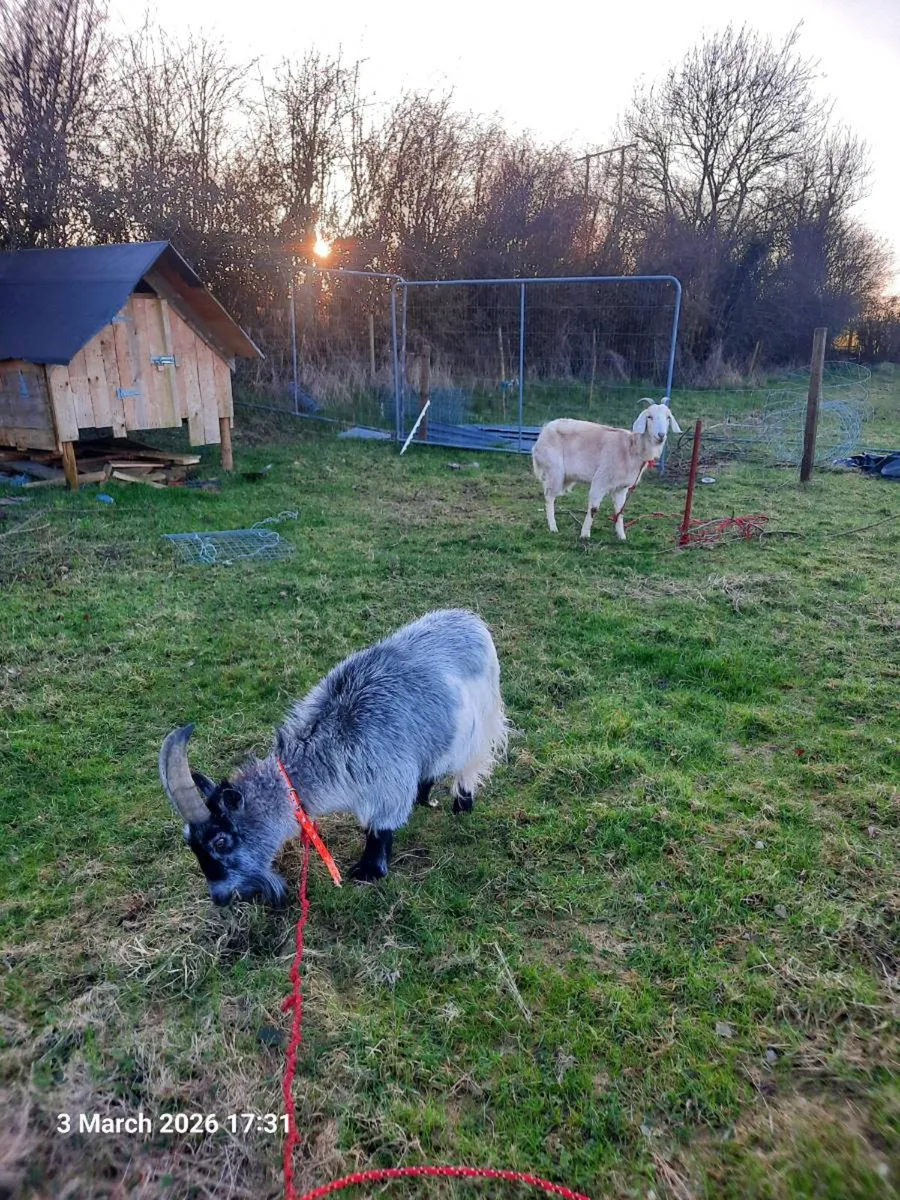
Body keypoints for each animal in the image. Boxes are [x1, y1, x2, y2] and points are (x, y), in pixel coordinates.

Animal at [159, 609, 508, 905]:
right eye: (190, 842)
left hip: (477, 724)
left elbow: (379, 832)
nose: (221, 898)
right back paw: (423, 796)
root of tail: (470, 620)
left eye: (220, 841)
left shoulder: (388, 787)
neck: (332, 743)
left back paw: (462, 804)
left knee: (471, 764)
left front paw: (369, 872)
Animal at [531, 399, 682, 541]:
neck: (631, 448)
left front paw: (622, 536)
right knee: (549, 496)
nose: (661, 435)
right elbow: (594, 508)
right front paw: (584, 535)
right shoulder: (601, 479)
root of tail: (543, 432)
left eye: (668, 417)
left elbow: (619, 512)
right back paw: (553, 528)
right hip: (554, 470)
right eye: (649, 417)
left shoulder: (621, 488)